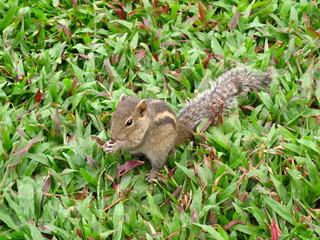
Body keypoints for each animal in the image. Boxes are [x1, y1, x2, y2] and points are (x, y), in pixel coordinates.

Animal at [103, 69, 272, 182]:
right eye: (113, 115)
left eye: (129, 122)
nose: (112, 136)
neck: (144, 122)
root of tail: (177, 134)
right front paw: (107, 144)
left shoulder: (143, 136)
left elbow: (132, 144)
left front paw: (116, 146)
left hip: (159, 150)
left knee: (158, 164)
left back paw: (151, 175)